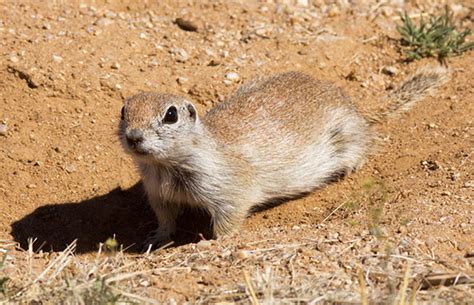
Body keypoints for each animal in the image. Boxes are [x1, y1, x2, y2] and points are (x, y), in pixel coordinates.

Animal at [117, 66, 448, 247]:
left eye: (171, 115)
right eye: (123, 111)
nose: (133, 136)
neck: (165, 167)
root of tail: (354, 105)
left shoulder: (228, 189)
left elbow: (228, 218)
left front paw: (217, 241)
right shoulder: (157, 193)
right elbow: (165, 217)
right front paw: (156, 238)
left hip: (349, 135)